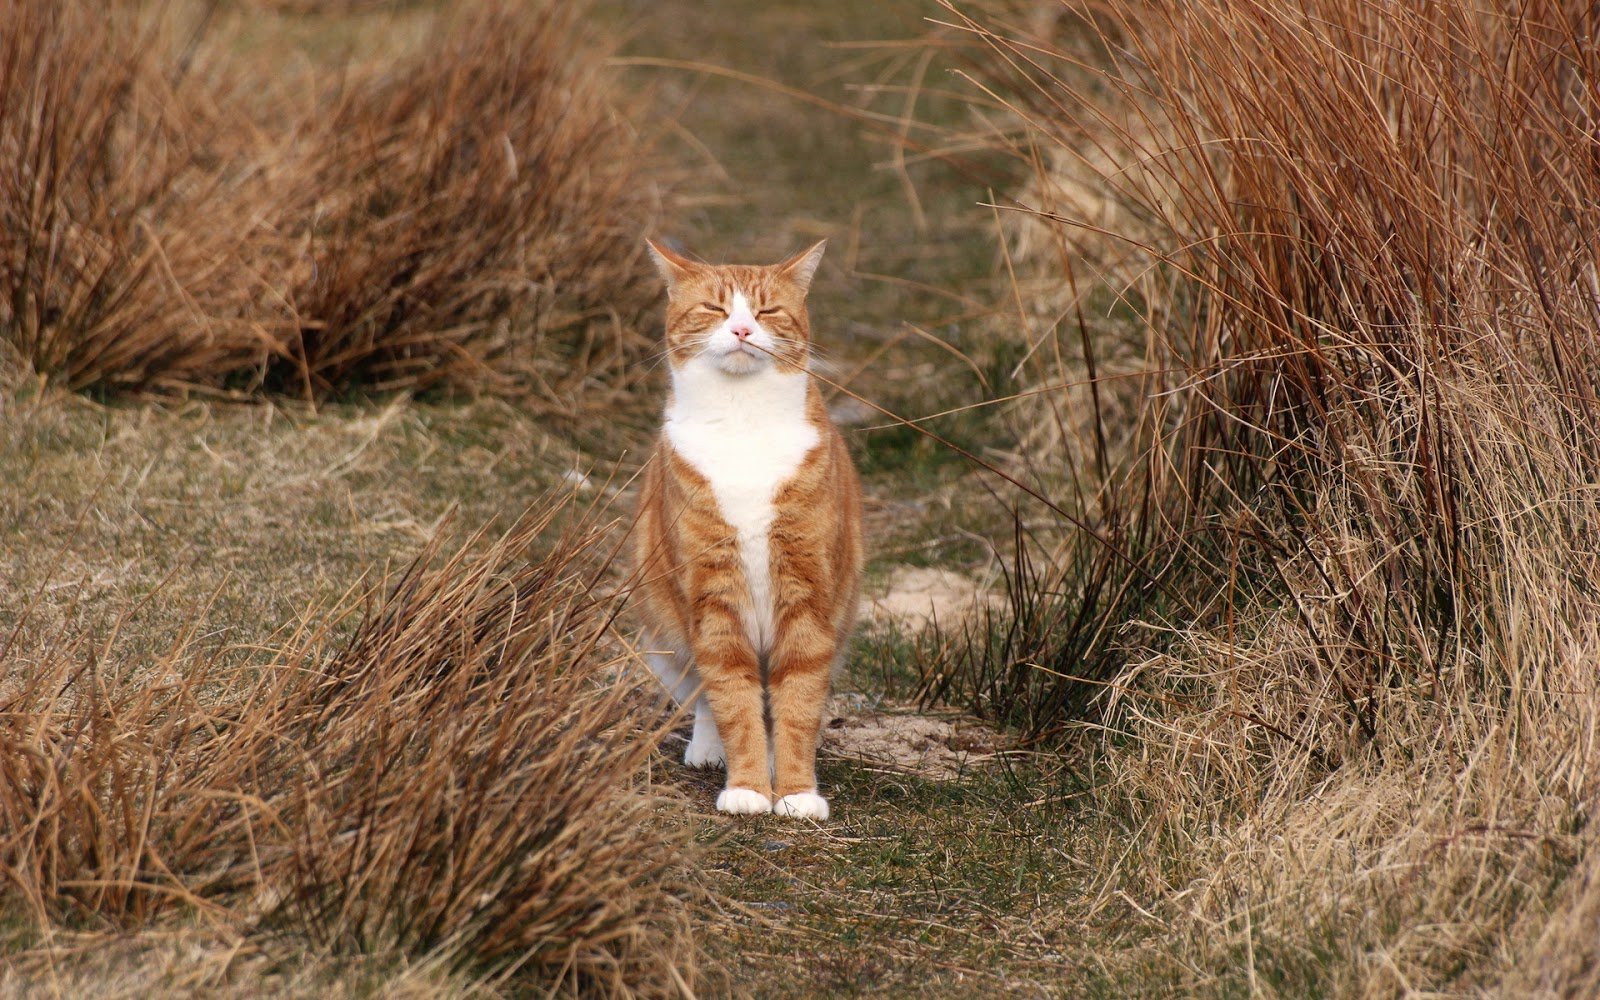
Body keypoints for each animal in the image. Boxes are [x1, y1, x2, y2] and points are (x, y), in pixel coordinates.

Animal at [633, 238, 864, 816]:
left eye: (767, 311)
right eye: (715, 309)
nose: (741, 330)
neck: (742, 423)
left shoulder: (807, 598)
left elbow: (798, 700)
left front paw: (797, 791)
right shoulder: (714, 597)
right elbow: (732, 700)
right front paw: (748, 788)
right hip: (663, 637)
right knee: (706, 697)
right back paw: (708, 748)